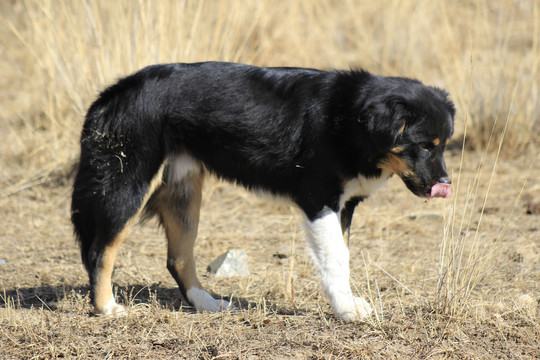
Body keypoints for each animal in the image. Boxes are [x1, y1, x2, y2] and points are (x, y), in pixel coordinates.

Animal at [69, 62, 454, 320]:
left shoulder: (345, 205)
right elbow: (335, 258)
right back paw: (106, 307)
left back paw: (207, 304)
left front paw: (344, 304)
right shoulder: (319, 201)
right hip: (126, 186)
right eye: (423, 145)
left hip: (184, 193)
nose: (445, 186)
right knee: (100, 251)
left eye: (445, 144)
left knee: (178, 258)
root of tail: (111, 94)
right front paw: (346, 309)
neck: (352, 119)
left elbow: (342, 257)